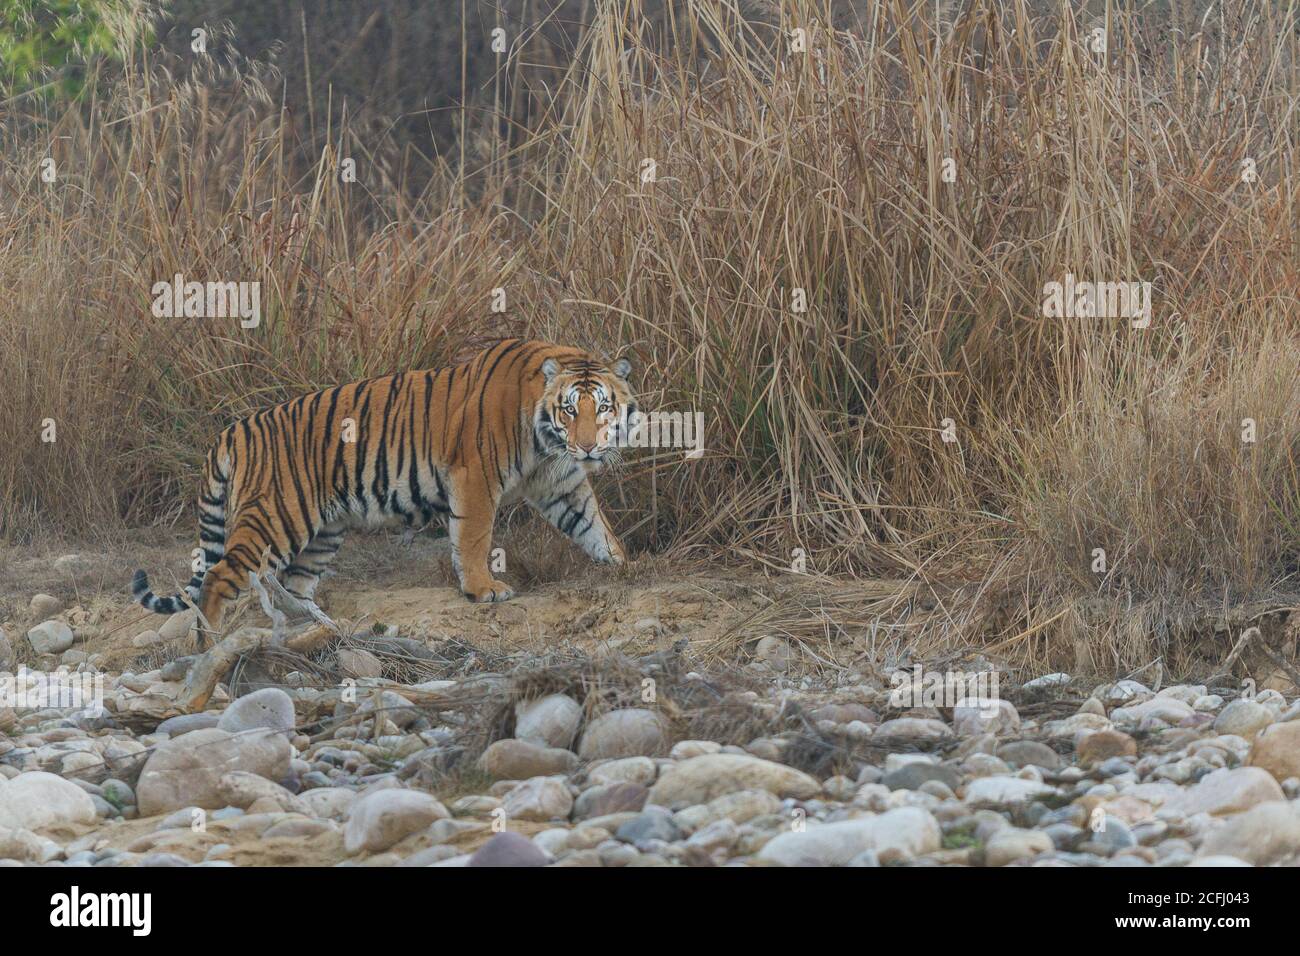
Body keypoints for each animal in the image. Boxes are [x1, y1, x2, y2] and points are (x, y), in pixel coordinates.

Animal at [130, 335, 634, 642]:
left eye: (603, 408)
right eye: (570, 409)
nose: (588, 446)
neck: (548, 443)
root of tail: (234, 429)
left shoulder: (562, 484)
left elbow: (595, 527)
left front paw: (626, 566)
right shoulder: (475, 476)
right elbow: (474, 539)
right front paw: (482, 589)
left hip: (323, 532)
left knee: (293, 587)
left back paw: (316, 628)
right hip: (276, 518)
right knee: (217, 578)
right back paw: (211, 647)